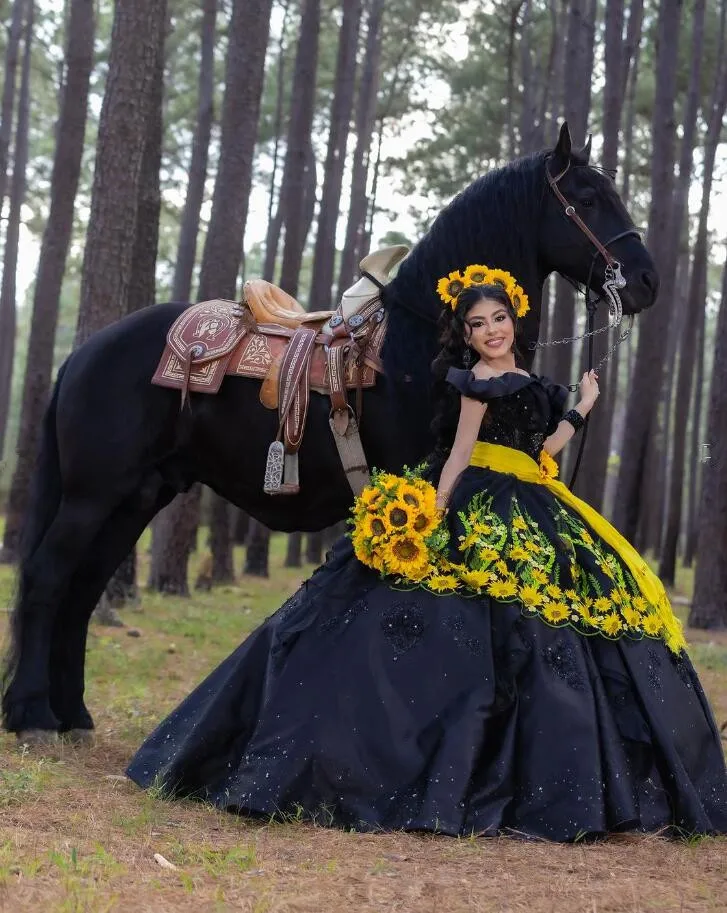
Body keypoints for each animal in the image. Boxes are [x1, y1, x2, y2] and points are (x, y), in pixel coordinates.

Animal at [0, 123, 660, 740]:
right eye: (588, 198)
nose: (647, 280)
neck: (420, 344)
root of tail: (85, 353)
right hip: (94, 493)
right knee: (48, 577)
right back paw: (32, 714)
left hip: (139, 495)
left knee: (84, 588)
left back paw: (73, 713)